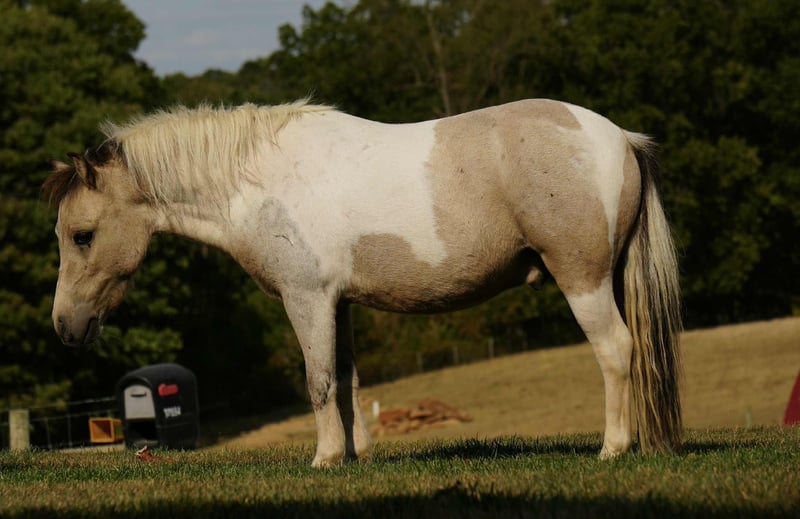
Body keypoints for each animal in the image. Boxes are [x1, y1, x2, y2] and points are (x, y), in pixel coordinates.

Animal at [43, 99, 682, 467]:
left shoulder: (306, 300)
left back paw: (613, 448)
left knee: (616, 350)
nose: (65, 327)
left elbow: (319, 381)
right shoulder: (339, 304)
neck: (257, 180)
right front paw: (358, 456)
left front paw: (325, 459)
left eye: (81, 235)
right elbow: (348, 379)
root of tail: (620, 137)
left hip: (583, 279)